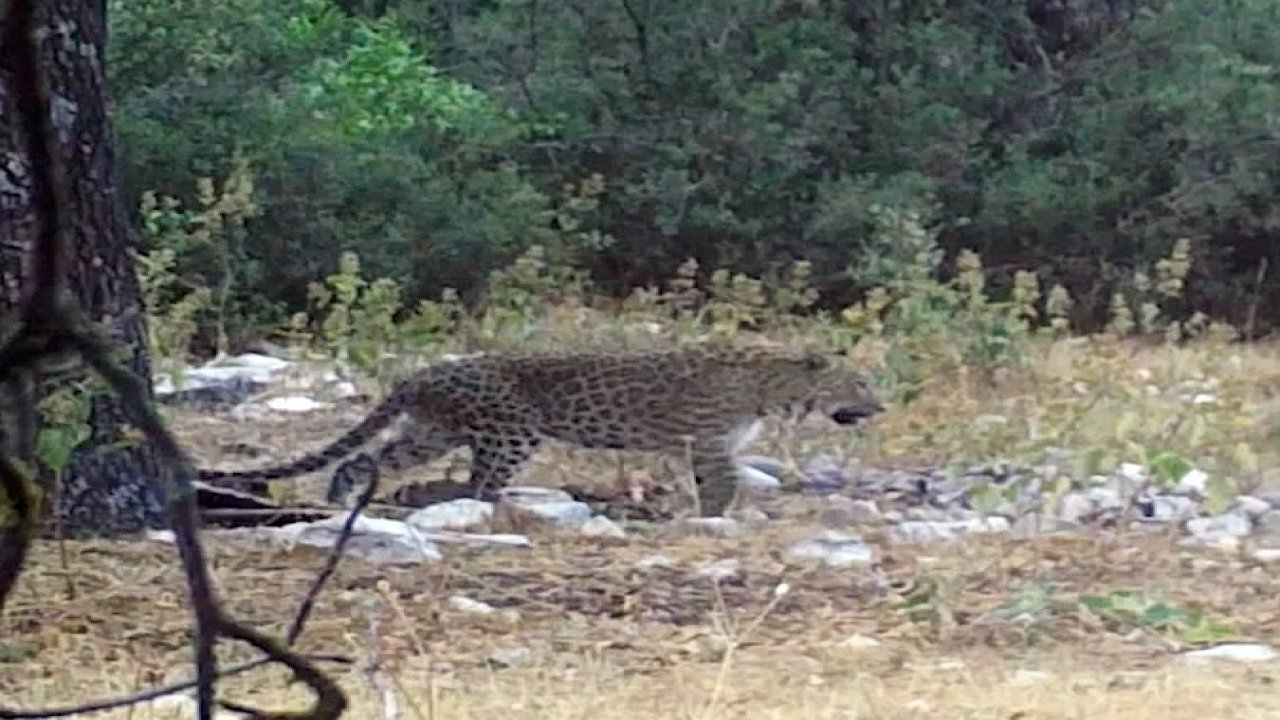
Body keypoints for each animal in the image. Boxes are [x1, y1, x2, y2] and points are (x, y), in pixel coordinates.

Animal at [197, 340, 880, 512]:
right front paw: (720, 518)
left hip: (433, 432)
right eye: (859, 386)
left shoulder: (713, 444)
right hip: (511, 432)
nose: (880, 409)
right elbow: (722, 485)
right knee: (478, 486)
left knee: (364, 458)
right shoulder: (709, 442)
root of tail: (422, 372)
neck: (776, 387)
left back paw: (344, 498)